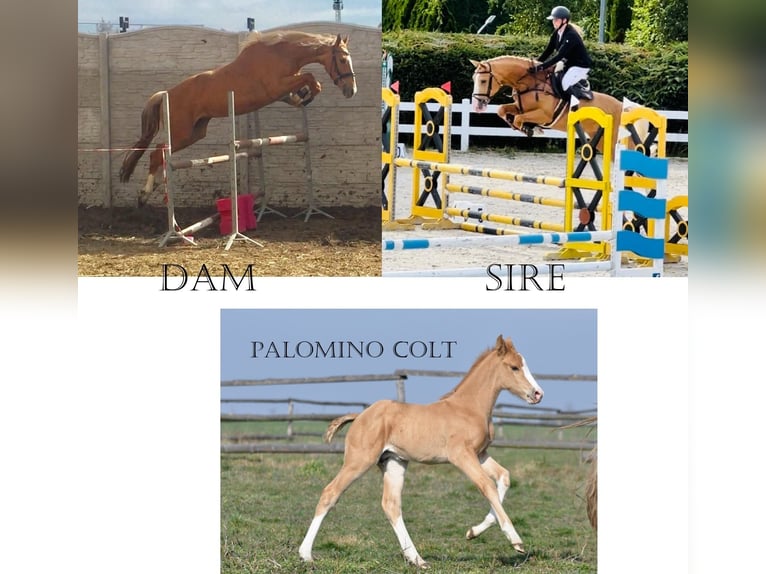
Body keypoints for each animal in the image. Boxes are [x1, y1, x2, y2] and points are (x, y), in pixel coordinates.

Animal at [119, 31, 357, 207]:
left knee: (161, 154)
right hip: (181, 132)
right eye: (343, 59)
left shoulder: (282, 90)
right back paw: (144, 194)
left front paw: (303, 98)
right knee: (157, 152)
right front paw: (308, 95)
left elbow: (304, 86)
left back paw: (154, 186)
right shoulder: (276, 87)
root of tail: (165, 94)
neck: (281, 53)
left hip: (194, 133)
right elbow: (311, 78)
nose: (350, 91)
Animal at [298, 335, 544, 569]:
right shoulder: (461, 455)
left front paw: (473, 532)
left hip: (394, 462)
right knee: (330, 493)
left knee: (391, 505)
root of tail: (359, 416)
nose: (538, 394)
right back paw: (306, 555)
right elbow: (487, 486)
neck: (469, 408)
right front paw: (516, 541)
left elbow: (504, 478)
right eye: (514, 367)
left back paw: (417, 559)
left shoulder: (480, 454)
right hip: (359, 461)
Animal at [470, 56, 624, 154]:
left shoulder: (544, 115)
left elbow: (519, 119)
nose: (477, 105)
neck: (530, 84)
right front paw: (519, 125)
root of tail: (621, 106)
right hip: (599, 140)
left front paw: (528, 129)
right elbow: (502, 110)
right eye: (473, 79)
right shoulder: (520, 108)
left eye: (483, 81)